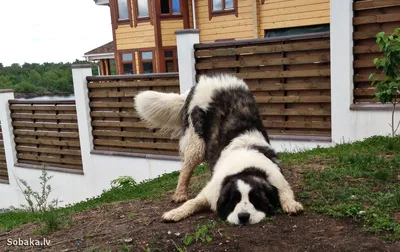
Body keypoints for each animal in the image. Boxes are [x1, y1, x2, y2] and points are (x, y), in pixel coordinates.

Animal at [134, 73, 304, 224]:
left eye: (255, 199)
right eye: (234, 200)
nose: (243, 217)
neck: (246, 167)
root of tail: (205, 81)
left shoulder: (277, 179)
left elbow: (286, 193)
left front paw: (291, 204)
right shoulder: (210, 192)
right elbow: (193, 202)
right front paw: (175, 213)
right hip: (196, 144)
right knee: (186, 168)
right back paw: (180, 194)